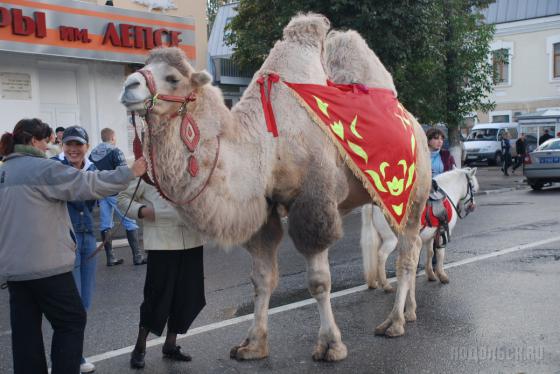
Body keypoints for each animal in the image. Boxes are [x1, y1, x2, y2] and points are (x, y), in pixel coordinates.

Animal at [120, 13, 430, 360]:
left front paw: (330, 345)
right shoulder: (264, 210)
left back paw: (394, 323)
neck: (269, 144)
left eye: (172, 78)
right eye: (144, 67)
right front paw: (253, 345)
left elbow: (319, 282)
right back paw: (410, 312)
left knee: (406, 253)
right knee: (414, 246)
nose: (128, 86)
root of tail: (417, 126)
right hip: (384, 199)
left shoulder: (313, 202)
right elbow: (261, 279)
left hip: (412, 194)